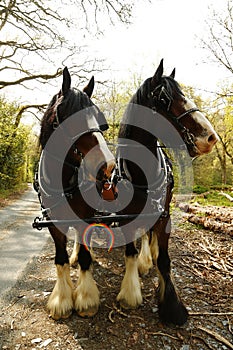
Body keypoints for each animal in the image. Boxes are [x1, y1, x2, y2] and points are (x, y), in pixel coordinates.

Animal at [37, 67, 116, 320]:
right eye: (72, 118)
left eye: (100, 121)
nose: (107, 166)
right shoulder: (54, 221)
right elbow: (60, 259)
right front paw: (62, 299)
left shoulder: (86, 216)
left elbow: (85, 256)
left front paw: (86, 298)